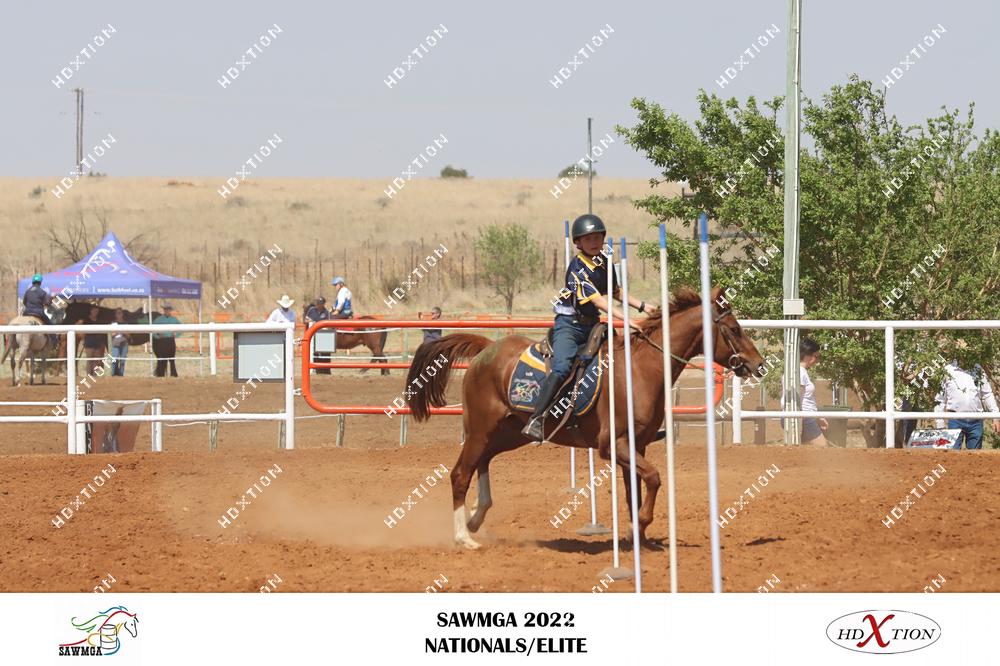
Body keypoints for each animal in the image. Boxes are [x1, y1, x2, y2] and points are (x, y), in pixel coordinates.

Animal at [404, 286, 768, 549]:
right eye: (734, 329)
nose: (759, 364)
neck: (641, 369)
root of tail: (485, 349)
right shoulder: (613, 445)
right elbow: (653, 479)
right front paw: (641, 524)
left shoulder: (637, 446)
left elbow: (634, 491)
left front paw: (640, 538)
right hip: (482, 430)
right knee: (460, 473)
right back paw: (464, 537)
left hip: (508, 433)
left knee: (482, 462)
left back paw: (476, 518)